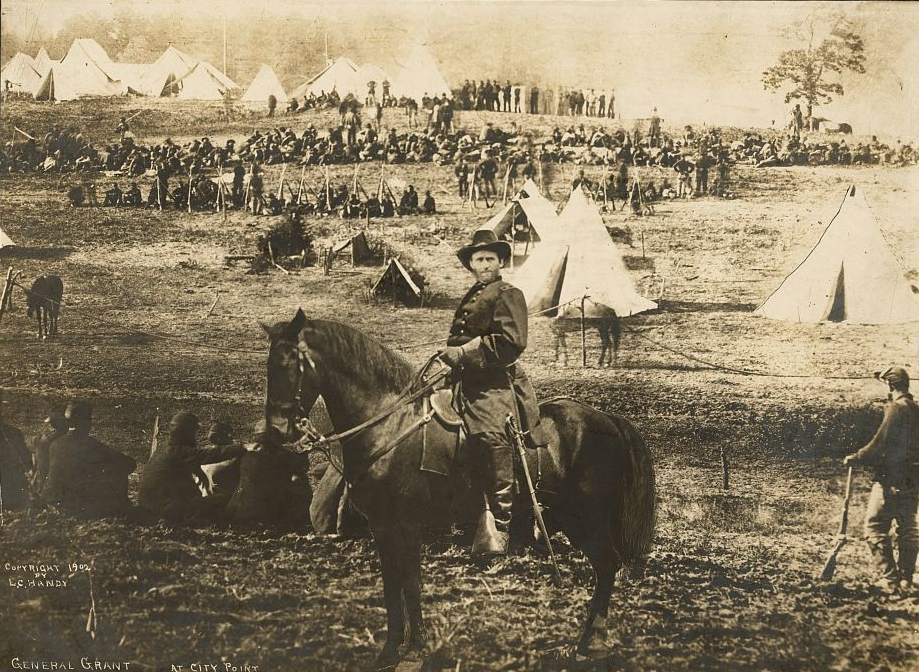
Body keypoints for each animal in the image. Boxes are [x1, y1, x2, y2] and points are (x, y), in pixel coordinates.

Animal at [262, 312, 656, 672]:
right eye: (269, 366)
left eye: (289, 364)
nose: (278, 431)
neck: (391, 425)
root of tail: (607, 419)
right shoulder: (382, 526)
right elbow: (392, 585)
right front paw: (389, 652)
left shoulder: (409, 523)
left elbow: (411, 582)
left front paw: (416, 650)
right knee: (605, 569)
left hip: (587, 521)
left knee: (607, 567)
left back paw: (590, 645)